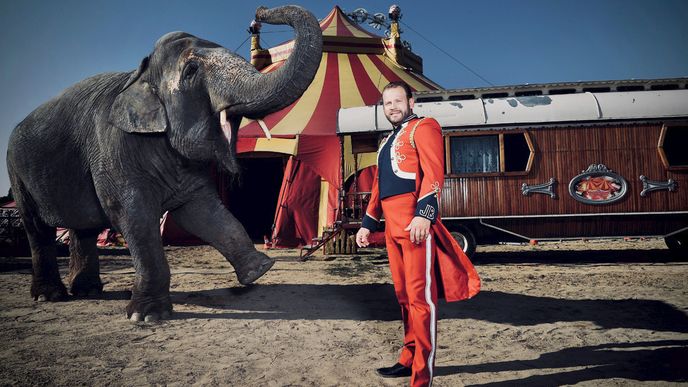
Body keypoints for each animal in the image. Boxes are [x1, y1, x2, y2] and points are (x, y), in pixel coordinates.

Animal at [6, 5, 322, 322]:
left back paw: (88, 291)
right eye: (191, 71)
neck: (138, 76)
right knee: (38, 229)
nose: (259, 14)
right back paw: (50, 296)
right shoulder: (113, 151)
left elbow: (201, 210)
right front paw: (146, 316)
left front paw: (259, 270)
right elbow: (134, 217)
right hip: (17, 175)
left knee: (82, 228)